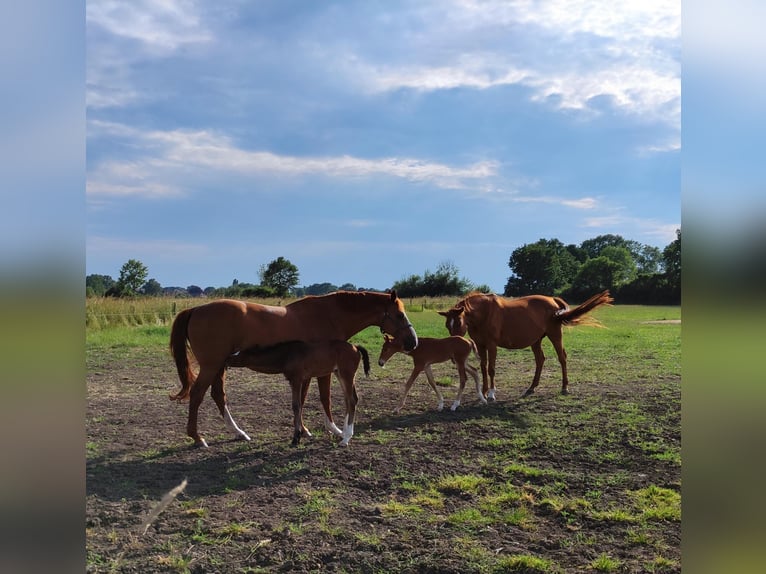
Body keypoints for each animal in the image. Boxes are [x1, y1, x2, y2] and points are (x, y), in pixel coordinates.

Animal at [225, 342, 372, 450]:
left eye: (237, 355)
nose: (224, 360)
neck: (287, 355)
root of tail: (355, 347)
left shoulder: (296, 380)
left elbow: (296, 405)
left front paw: (296, 438)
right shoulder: (296, 380)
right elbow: (299, 404)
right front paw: (300, 434)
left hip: (347, 375)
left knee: (351, 401)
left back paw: (346, 438)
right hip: (339, 374)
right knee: (350, 400)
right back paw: (345, 434)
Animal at [440, 292, 616, 400]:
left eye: (459, 322)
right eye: (447, 325)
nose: (453, 345)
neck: (484, 313)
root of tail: (553, 300)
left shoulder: (492, 345)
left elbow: (491, 369)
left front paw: (491, 393)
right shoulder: (481, 345)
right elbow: (483, 368)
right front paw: (482, 392)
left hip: (555, 335)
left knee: (562, 358)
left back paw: (564, 387)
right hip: (536, 341)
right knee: (540, 360)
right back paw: (531, 387)